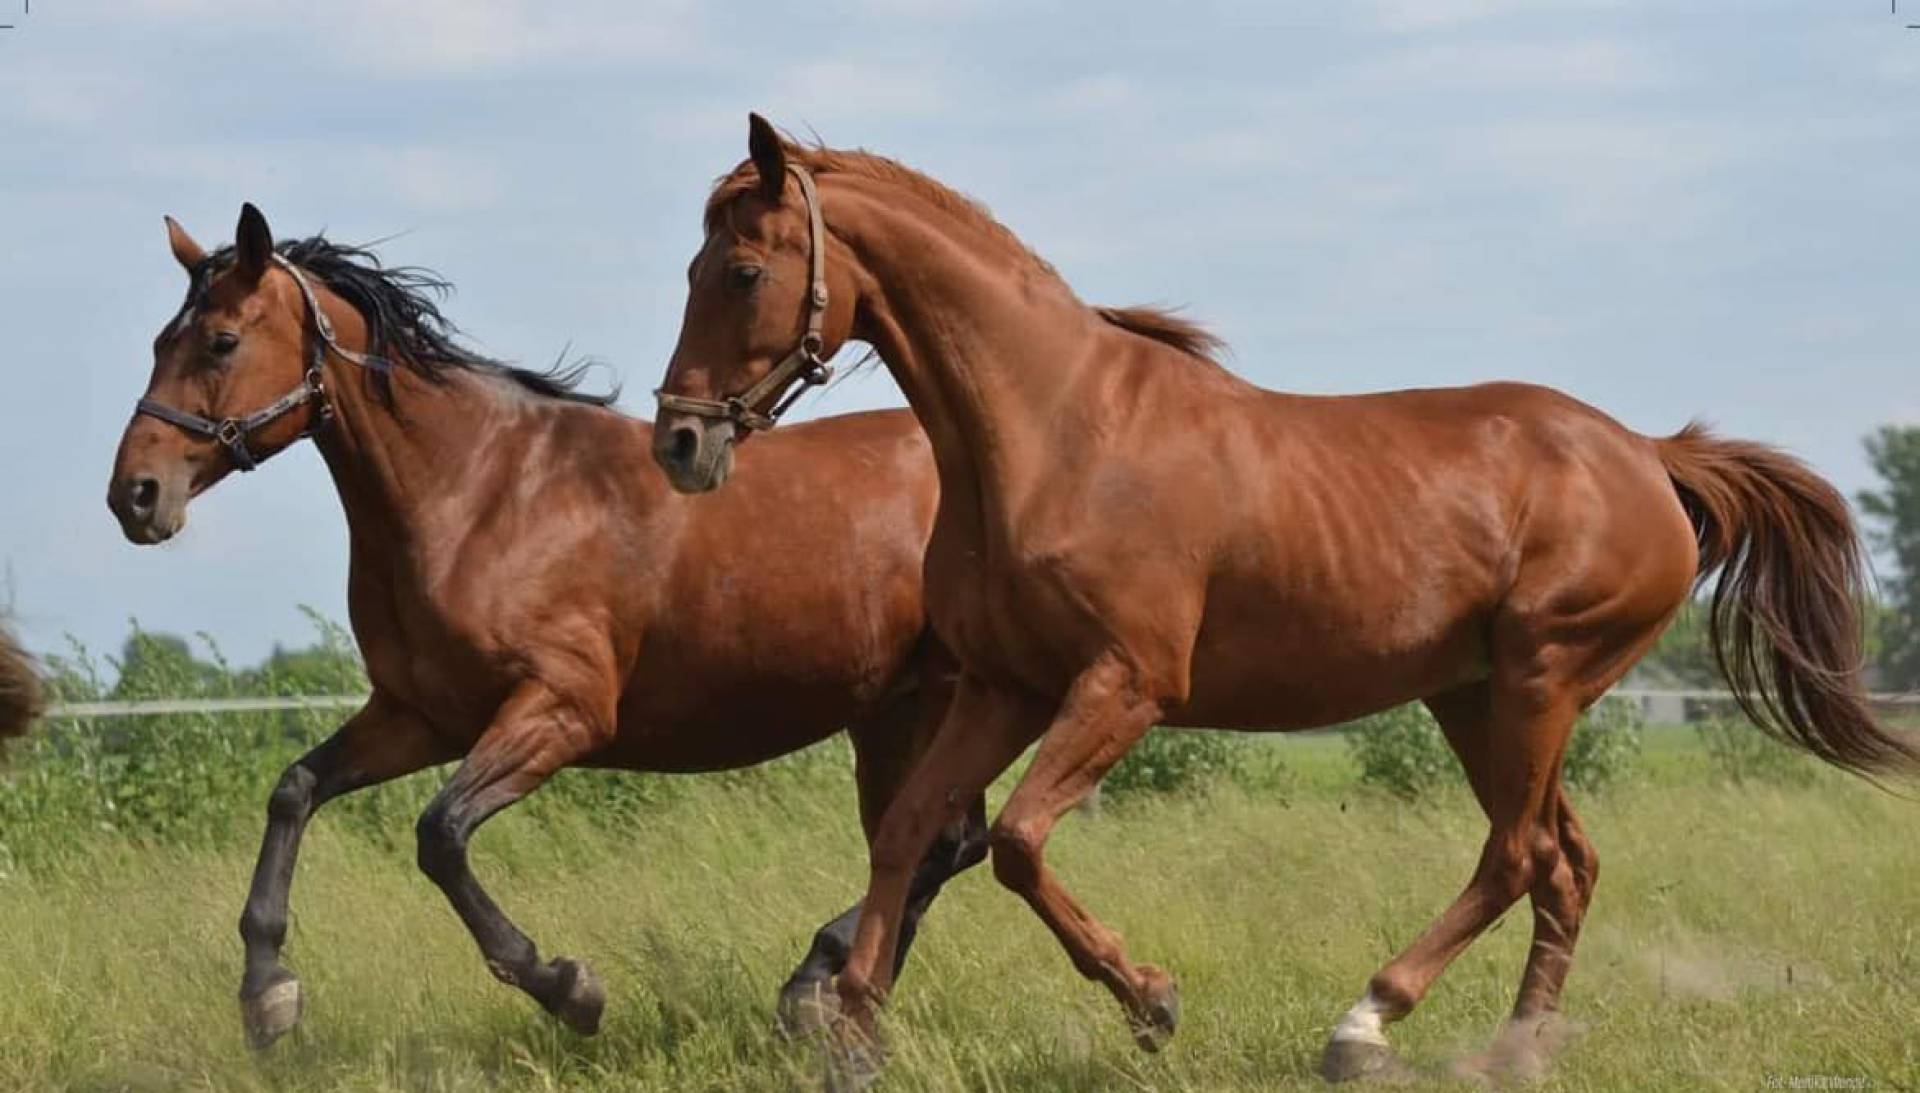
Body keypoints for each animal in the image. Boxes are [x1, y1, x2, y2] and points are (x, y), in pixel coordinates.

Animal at [105, 204, 990, 1044]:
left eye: (221, 341)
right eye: (157, 341)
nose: (135, 496)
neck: (479, 492)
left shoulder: (562, 709)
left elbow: (440, 833)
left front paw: (569, 987)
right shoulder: (420, 716)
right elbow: (295, 790)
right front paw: (267, 995)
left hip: (944, 699)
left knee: (935, 843)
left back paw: (816, 987)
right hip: (893, 709)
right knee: (935, 844)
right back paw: (828, 990)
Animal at [652, 115, 1912, 1075]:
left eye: (744, 270)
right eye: (694, 267)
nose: (679, 442)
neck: (1054, 433)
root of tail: (1650, 456)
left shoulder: (1124, 685)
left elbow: (1014, 840)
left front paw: (1151, 1001)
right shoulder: (1005, 684)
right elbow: (914, 830)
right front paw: (851, 1026)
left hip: (1542, 679)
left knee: (1515, 855)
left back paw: (1366, 1024)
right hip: (1477, 696)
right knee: (1566, 861)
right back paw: (1515, 1049)